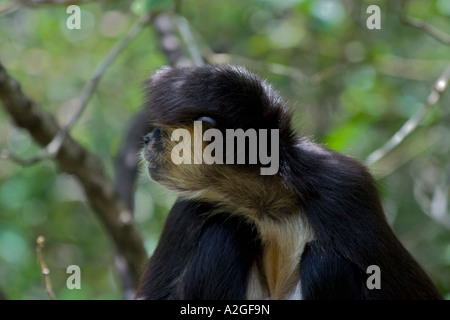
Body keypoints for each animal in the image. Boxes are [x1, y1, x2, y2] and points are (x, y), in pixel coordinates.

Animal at [135, 63, 442, 298]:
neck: (263, 200)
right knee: (226, 229)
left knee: (324, 262)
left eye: (161, 132)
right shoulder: (189, 207)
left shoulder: (342, 185)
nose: (147, 139)